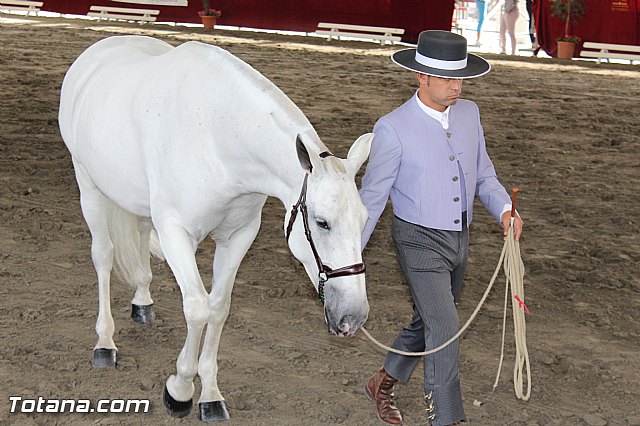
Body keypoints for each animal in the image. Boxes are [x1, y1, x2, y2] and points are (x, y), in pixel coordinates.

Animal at [58, 35, 373, 422]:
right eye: (322, 222)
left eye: (364, 219)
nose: (354, 317)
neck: (219, 138)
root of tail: (98, 50)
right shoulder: (176, 233)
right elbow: (197, 308)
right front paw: (179, 390)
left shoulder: (238, 236)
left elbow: (219, 307)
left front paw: (209, 394)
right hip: (89, 187)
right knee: (103, 256)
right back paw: (104, 343)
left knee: (142, 239)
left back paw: (143, 301)